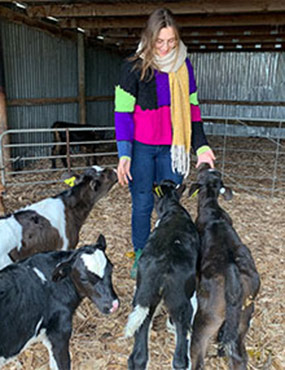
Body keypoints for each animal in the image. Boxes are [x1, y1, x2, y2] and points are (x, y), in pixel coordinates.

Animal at [124, 180, 200, 370]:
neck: (172, 208)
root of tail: (162, 264)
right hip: (180, 302)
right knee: (180, 358)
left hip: (143, 296)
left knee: (138, 356)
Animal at [189, 165, 260, 370]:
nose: (206, 164)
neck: (213, 211)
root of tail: (232, 272)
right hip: (244, 315)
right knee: (239, 356)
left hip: (207, 319)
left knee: (198, 357)